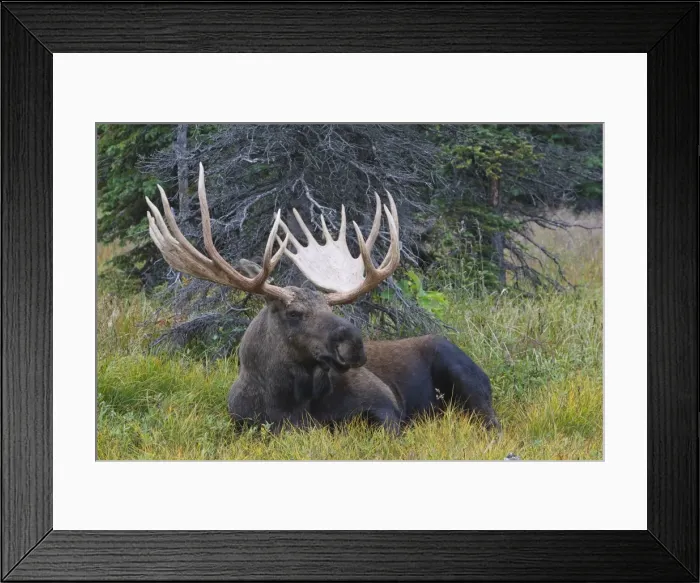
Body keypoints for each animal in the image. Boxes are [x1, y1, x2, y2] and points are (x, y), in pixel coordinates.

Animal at [146, 163, 500, 435]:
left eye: (331, 306)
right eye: (293, 313)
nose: (354, 343)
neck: (285, 403)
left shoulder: (386, 403)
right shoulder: (241, 422)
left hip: (465, 376)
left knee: (490, 420)